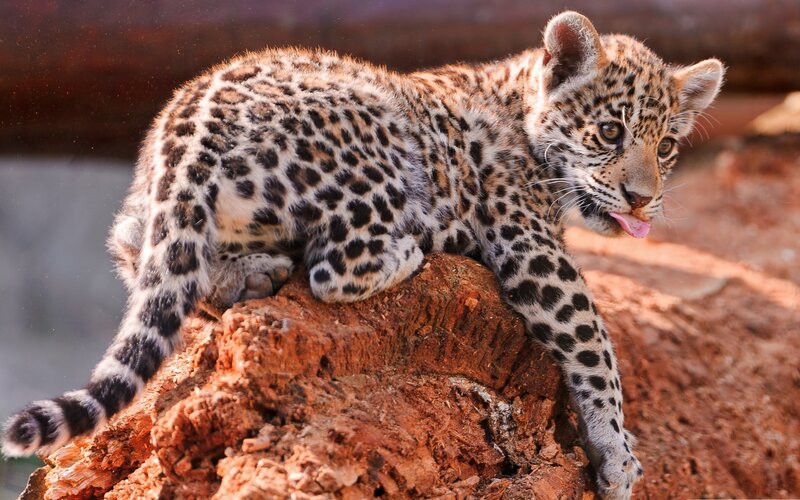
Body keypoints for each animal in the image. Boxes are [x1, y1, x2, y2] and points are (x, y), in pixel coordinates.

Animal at [2, 11, 723, 499]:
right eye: (609, 131)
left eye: (666, 148)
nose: (641, 201)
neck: (520, 100)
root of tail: (192, 117)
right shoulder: (530, 245)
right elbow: (595, 342)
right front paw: (617, 454)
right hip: (381, 154)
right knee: (335, 268)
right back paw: (412, 247)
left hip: (152, 216)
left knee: (148, 254)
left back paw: (249, 274)